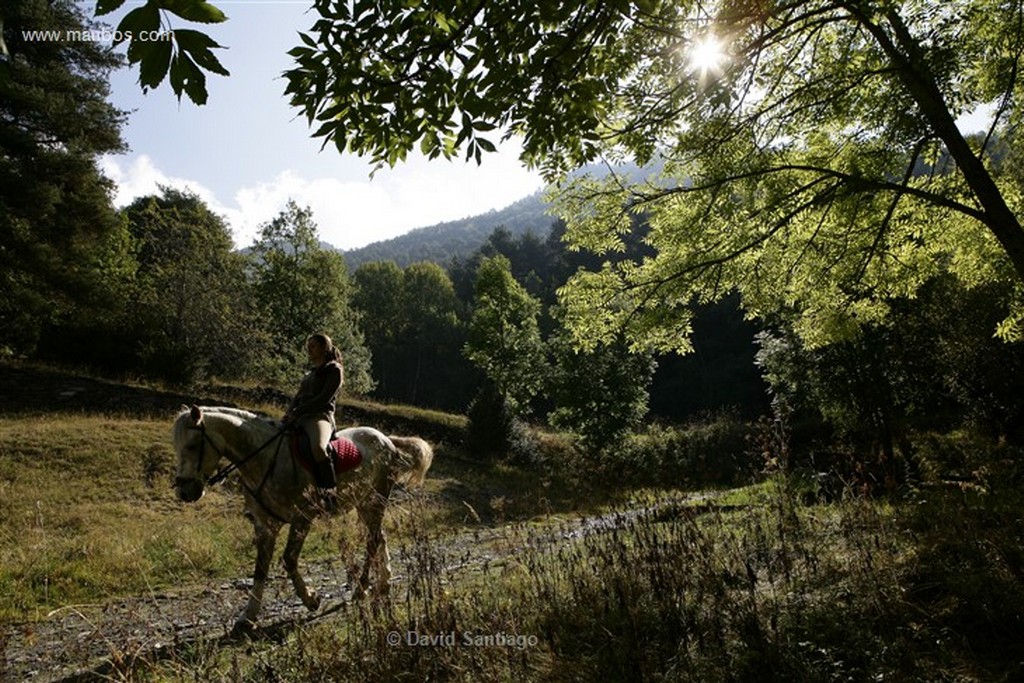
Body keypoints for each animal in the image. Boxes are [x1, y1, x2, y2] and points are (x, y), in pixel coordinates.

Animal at [171, 403, 432, 634]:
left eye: (192, 446)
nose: (184, 492)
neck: (266, 459)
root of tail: (386, 439)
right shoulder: (264, 525)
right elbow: (260, 570)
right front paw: (248, 617)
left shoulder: (302, 519)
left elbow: (289, 559)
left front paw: (311, 599)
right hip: (366, 504)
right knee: (379, 537)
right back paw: (384, 582)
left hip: (376, 500)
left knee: (372, 542)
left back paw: (361, 588)